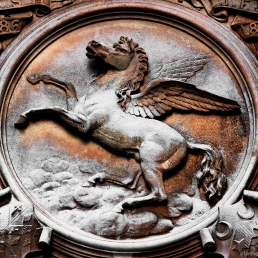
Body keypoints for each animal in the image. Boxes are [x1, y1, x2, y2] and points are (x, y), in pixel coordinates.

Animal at [14, 37, 240, 213]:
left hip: (150, 163)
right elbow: (66, 85)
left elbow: (54, 108)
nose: (93, 43)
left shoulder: (84, 126)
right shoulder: (76, 108)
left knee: (159, 195)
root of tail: (186, 143)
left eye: (119, 49)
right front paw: (35, 78)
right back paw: (96, 180)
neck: (105, 96)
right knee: (130, 183)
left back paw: (123, 205)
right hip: (138, 158)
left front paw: (23, 117)